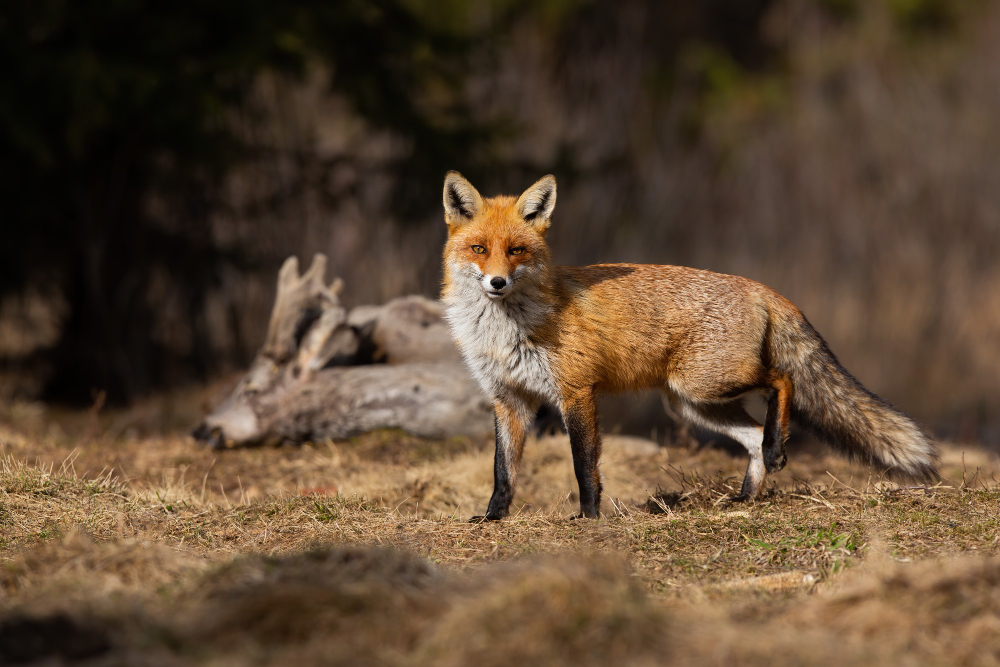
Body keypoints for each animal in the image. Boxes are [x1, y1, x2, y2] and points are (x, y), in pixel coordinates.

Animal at [440, 172, 938, 521]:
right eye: (480, 248)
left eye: (517, 251)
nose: (497, 282)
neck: (505, 332)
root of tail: (762, 288)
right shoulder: (509, 400)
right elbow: (503, 471)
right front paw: (491, 518)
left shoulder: (575, 392)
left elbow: (584, 465)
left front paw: (588, 518)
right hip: (694, 404)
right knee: (753, 437)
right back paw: (745, 497)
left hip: (704, 384)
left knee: (781, 382)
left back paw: (776, 451)